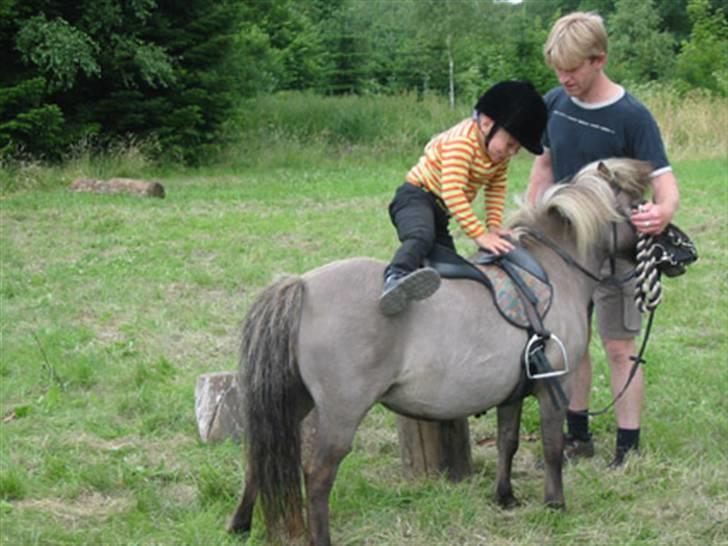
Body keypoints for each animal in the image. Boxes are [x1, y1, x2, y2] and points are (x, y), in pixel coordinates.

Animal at [229, 156, 656, 540]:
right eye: (638, 205)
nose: (673, 243)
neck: (552, 273)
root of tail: (301, 285)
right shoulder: (554, 386)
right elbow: (551, 447)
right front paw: (555, 504)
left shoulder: (513, 392)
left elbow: (507, 442)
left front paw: (505, 497)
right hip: (340, 412)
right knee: (317, 475)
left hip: (292, 399)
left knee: (258, 458)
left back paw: (240, 524)